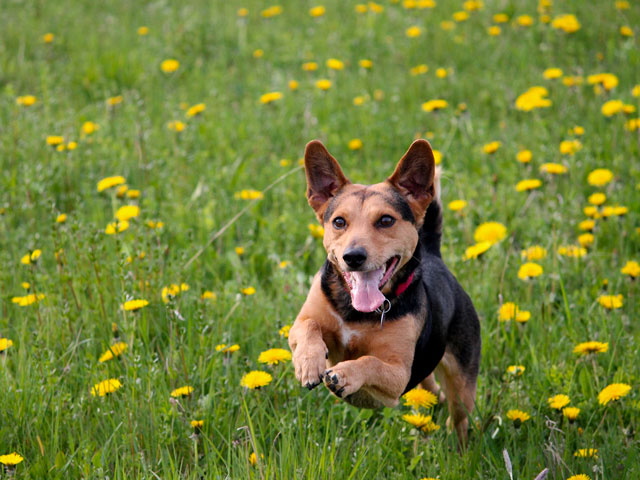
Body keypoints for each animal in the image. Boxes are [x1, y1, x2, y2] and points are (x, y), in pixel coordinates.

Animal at [288, 138, 480, 442]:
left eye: (386, 220)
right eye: (339, 222)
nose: (353, 257)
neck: (357, 312)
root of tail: (435, 256)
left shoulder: (399, 375)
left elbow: (370, 362)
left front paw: (345, 375)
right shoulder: (302, 321)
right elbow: (308, 327)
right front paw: (309, 363)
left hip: (463, 384)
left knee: (459, 416)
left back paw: (458, 446)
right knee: (432, 389)